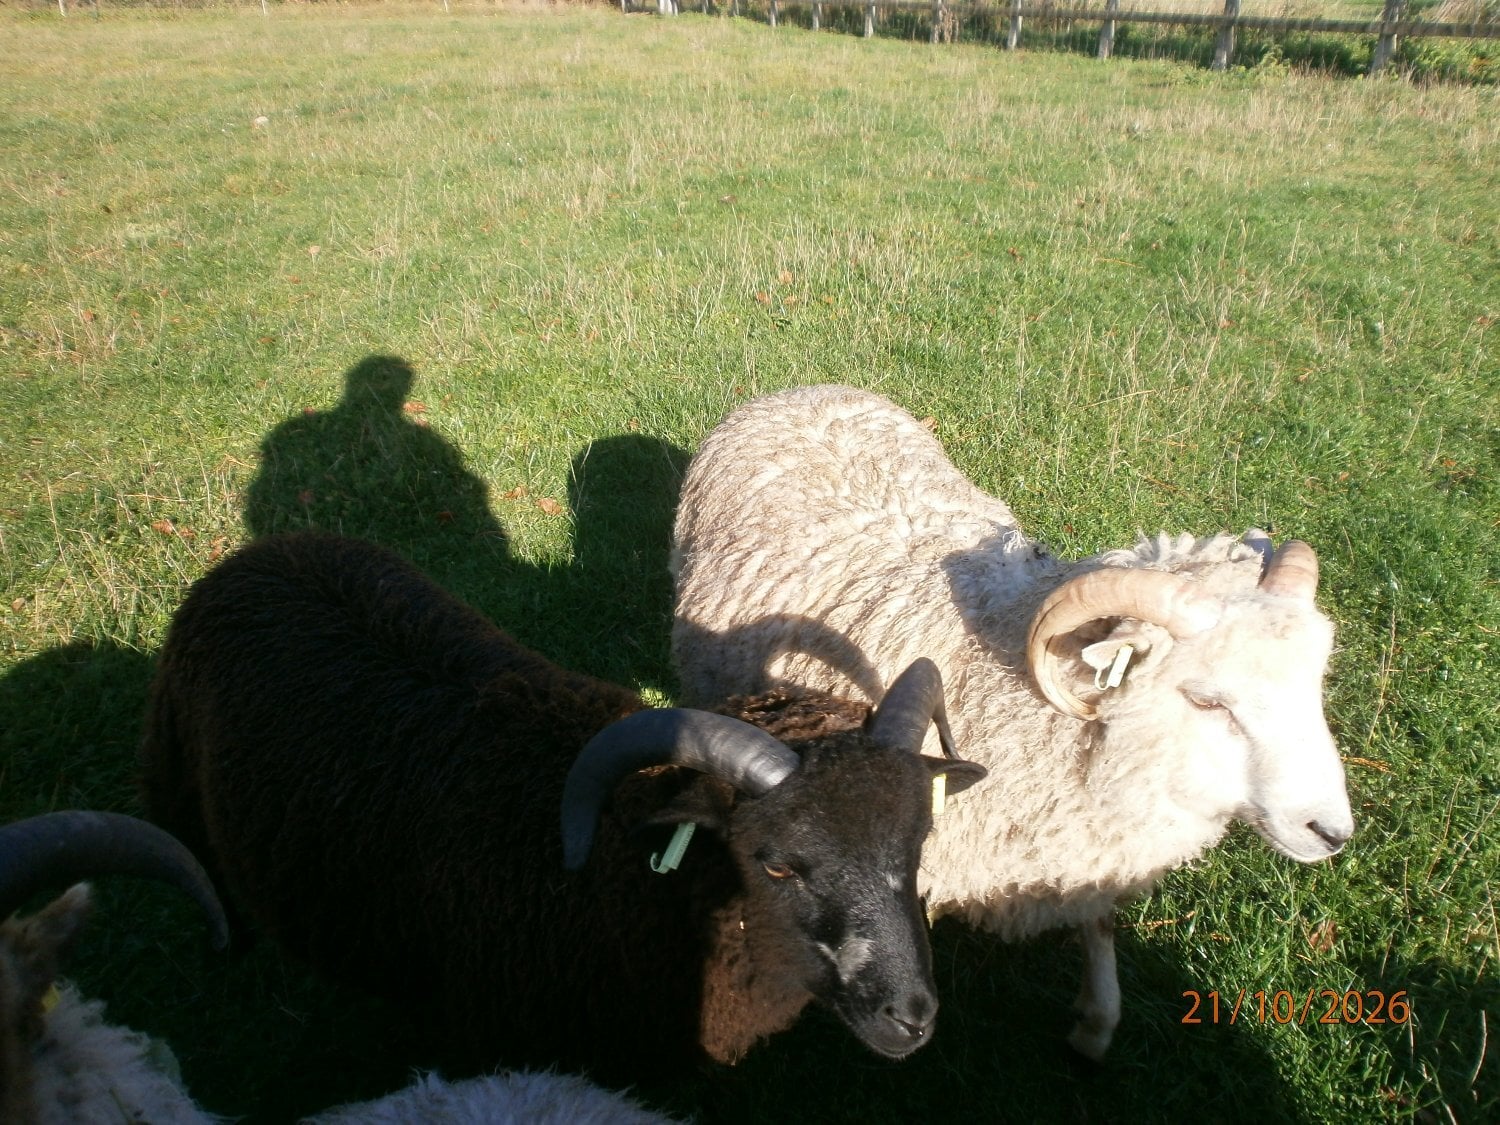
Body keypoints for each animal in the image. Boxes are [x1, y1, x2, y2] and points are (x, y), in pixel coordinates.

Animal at [141, 531, 986, 1080]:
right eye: (775, 865)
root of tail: (259, 555)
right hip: (176, 791)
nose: (912, 1016)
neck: (615, 885)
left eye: (916, 844)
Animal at [669, 383, 1355, 1060]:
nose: (1331, 832)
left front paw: (1096, 1021)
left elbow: (1099, 922)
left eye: (1314, 680)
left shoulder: (1085, 852)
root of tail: (803, 390)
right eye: (1208, 700)